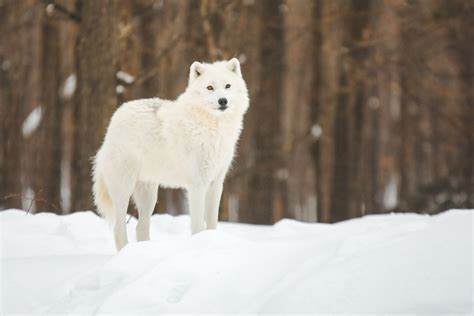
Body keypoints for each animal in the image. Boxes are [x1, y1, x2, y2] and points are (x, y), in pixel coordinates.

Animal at [90, 58, 250, 249]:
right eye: (210, 87)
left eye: (227, 86)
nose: (223, 101)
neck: (213, 129)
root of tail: (116, 116)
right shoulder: (197, 185)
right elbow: (198, 225)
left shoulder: (216, 183)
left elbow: (212, 223)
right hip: (123, 190)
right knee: (118, 228)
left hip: (149, 196)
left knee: (140, 227)